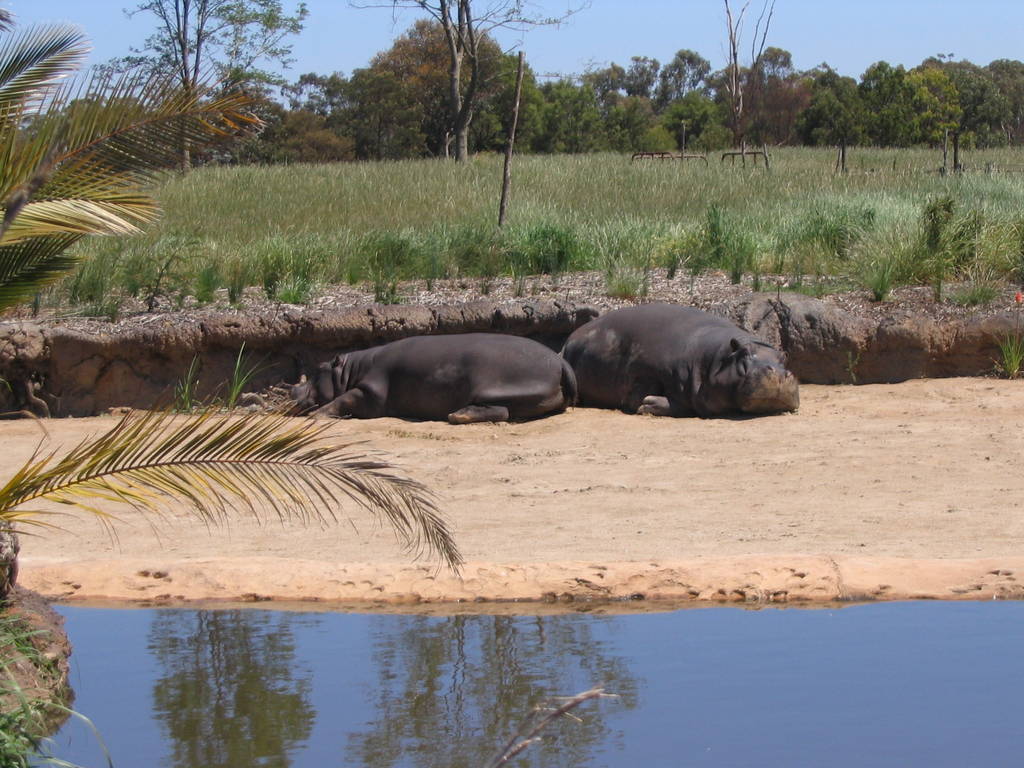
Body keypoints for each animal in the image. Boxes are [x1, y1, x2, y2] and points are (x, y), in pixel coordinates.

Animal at [291, 333, 577, 424]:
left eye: (318, 368)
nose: (291, 391)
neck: (351, 370)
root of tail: (561, 361)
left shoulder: (370, 390)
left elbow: (343, 399)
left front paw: (317, 415)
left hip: (500, 386)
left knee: (501, 410)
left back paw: (456, 415)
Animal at [561, 303, 798, 417]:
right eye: (744, 353)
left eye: (784, 357)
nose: (778, 373)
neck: (714, 360)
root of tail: (569, 339)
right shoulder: (648, 370)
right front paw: (647, 403)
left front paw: (649, 403)